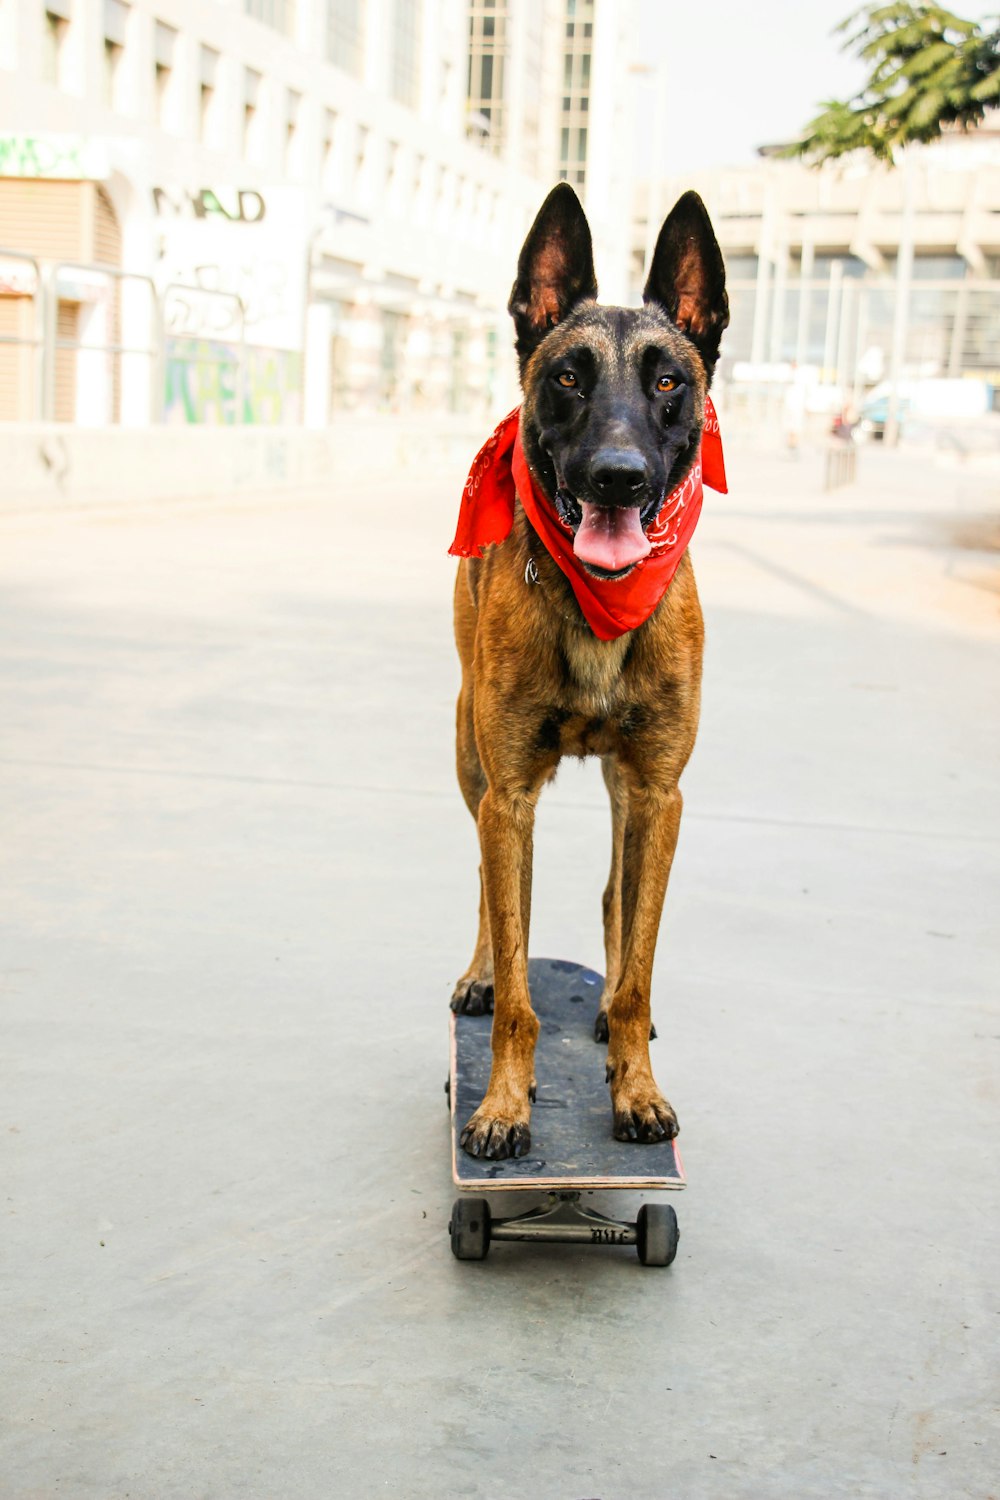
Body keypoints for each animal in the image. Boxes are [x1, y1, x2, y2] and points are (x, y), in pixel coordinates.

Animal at [452, 178, 728, 1158]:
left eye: (669, 381)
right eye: (568, 376)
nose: (617, 476)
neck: (597, 605)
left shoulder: (658, 792)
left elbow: (639, 958)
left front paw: (635, 1085)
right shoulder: (508, 795)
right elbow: (519, 981)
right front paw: (503, 1104)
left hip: (630, 793)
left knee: (615, 901)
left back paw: (611, 1014)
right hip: (470, 759)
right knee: (490, 892)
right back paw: (481, 973)